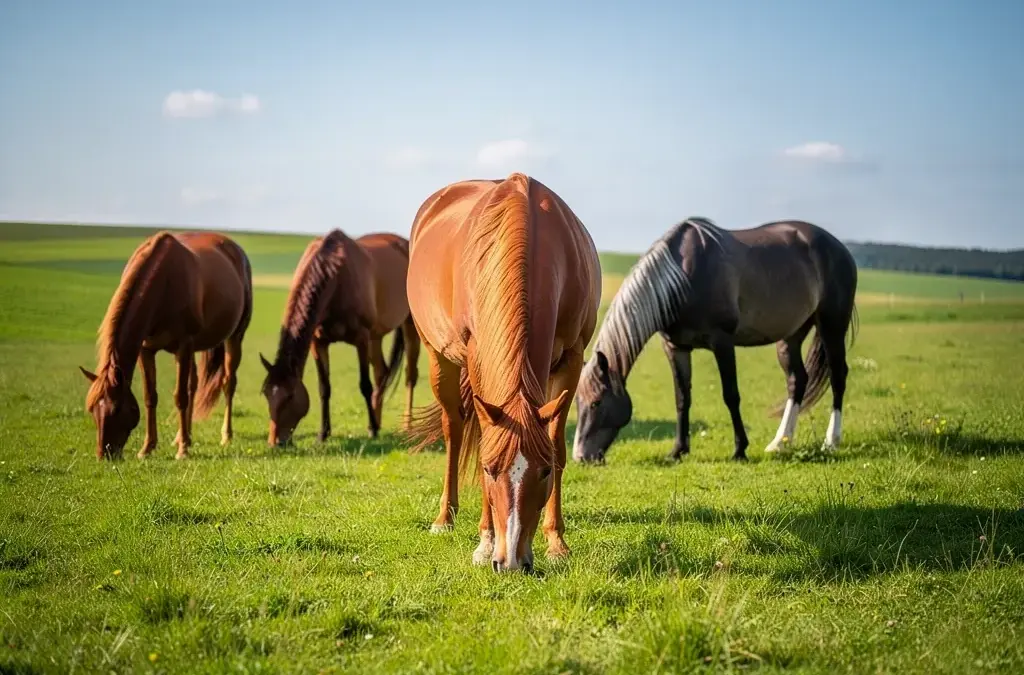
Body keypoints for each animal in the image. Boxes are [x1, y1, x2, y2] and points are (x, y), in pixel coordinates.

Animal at [79, 230, 253, 460]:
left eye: (116, 409)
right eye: (92, 409)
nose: (104, 455)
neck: (164, 285)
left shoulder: (183, 345)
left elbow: (180, 396)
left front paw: (183, 451)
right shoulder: (146, 350)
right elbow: (150, 396)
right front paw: (148, 448)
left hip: (234, 337)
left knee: (228, 383)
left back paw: (225, 436)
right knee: (193, 384)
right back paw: (183, 436)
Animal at [259, 229, 420, 446]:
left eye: (290, 396)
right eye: (266, 393)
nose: (275, 442)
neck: (335, 278)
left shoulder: (361, 339)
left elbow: (364, 385)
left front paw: (372, 431)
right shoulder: (318, 343)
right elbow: (324, 388)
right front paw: (323, 434)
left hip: (408, 326)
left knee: (410, 376)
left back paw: (406, 425)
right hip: (375, 337)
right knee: (381, 373)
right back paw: (378, 421)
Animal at [404, 172, 602, 573]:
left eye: (544, 471)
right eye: (489, 470)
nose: (511, 561)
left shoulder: (571, 360)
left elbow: (558, 443)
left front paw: (557, 543)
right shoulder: (477, 356)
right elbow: (483, 437)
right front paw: (485, 543)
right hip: (437, 357)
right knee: (453, 427)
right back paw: (445, 518)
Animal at [572, 217, 858, 464]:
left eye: (597, 402)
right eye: (578, 402)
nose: (580, 456)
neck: (682, 278)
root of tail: (839, 247)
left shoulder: (722, 343)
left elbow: (731, 395)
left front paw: (740, 450)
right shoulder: (676, 347)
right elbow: (681, 398)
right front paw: (678, 451)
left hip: (831, 325)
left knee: (838, 376)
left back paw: (831, 441)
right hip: (791, 335)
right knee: (797, 381)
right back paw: (780, 443)